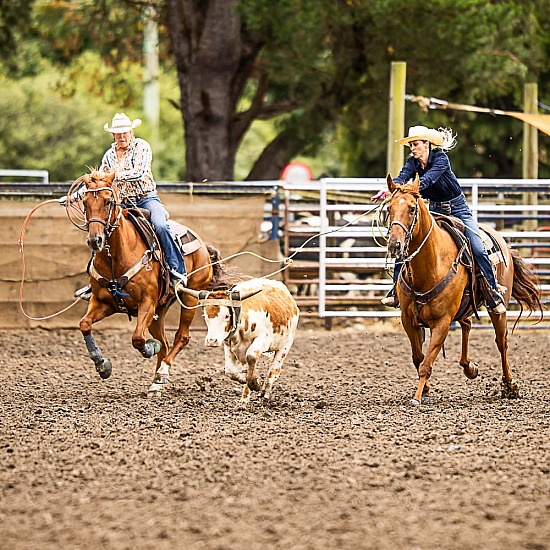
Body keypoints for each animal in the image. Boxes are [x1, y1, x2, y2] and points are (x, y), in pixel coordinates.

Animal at [75, 172, 226, 396]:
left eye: (108, 201)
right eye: (85, 202)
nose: (95, 240)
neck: (116, 257)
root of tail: (203, 247)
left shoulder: (147, 302)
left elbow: (138, 338)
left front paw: (149, 347)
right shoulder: (103, 303)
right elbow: (84, 324)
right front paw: (103, 365)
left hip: (188, 298)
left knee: (181, 337)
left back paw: (162, 373)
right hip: (159, 311)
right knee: (165, 343)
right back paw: (156, 383)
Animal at [386, 175, 544, 408]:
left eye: (412, 209)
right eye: (389, 208)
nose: (394, 246)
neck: (431, 264)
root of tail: (503, 241)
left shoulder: (442, 322)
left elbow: (426, 363)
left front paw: (417, 397)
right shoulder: (408, 320)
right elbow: (418, 358)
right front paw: (426, 390)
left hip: (498, 309)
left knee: (502, 342)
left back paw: (510, 386)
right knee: (467, 324)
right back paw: (469, 367)